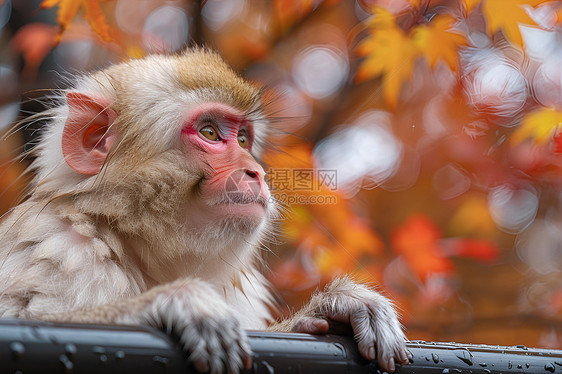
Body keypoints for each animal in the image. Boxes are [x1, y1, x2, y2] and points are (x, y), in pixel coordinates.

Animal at [0, 49, 410, 374]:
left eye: (243, 139)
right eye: (210, 133)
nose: (256, 172)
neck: (139, 248)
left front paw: (332, 308)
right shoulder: (59, 245)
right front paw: (175, 301)